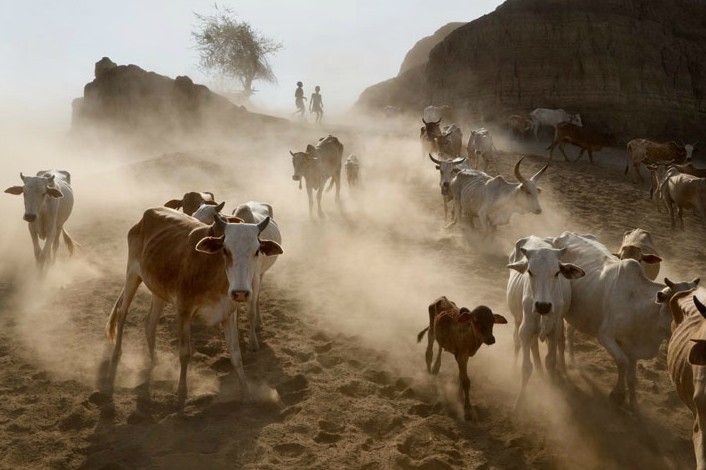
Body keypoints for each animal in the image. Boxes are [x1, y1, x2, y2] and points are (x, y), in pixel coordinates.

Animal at [97, 207, 284, 410]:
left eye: (257, 251)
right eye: (226, 250)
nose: (240, 293)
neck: (215, 273)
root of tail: (147, 214)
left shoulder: (229, 314)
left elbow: (236, 355)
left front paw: (248, 393)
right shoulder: (184, 311)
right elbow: (185, 353)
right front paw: (181, 392)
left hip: (158, 291)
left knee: (150, 324)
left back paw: (155, 362)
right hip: (132, 273)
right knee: (123, 312)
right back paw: (116, 356)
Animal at [506, 237, 584, 410]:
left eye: (557, 273)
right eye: (530, 272)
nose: (543, 306)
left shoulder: (553, 331)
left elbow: (551, 362)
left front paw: (550, 390)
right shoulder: (526, 330)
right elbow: (526, 367)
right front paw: (519, 401)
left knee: (555, 343)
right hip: (518, 320)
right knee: (517, 341)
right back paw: (514, 369)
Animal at [552, 231, 692, 408]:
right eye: (678, 306)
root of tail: (567, 233)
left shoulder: (633, 347)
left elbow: (632, 377)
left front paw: (633, 403)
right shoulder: (605, 336)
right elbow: (622, 363)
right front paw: (617, 395)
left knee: (570, 331)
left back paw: (572, 360)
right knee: (560, 338)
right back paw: (562, 364)